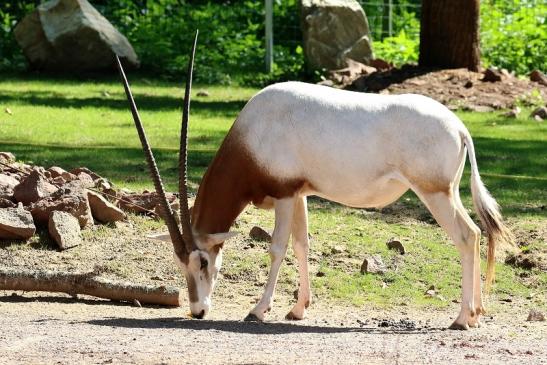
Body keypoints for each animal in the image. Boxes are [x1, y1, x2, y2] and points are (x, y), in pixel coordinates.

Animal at [115, 34, 512, 328]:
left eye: (201, 262)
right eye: (179, 263)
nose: (198, 311)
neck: (254, 132)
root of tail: (459, 128)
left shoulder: (284, 194)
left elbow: (277, 247)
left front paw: (258, 310)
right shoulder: (299, 194)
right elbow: (302, 244)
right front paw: (297, 308)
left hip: (434, 193)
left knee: (466, 236)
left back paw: (461, 318)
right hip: (448, 193)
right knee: (477, 234)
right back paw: (476, 314)